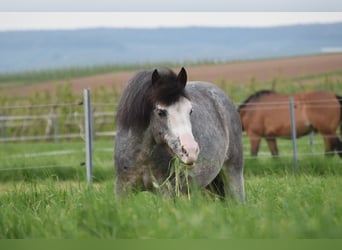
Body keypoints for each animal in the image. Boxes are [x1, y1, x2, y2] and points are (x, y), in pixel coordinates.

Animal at [115, 67, 246, 201]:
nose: (191, 151)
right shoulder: (122, 188)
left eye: (190, 110)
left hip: (233, 174)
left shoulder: (166, 191)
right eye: (161, 112)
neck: (143, 157)